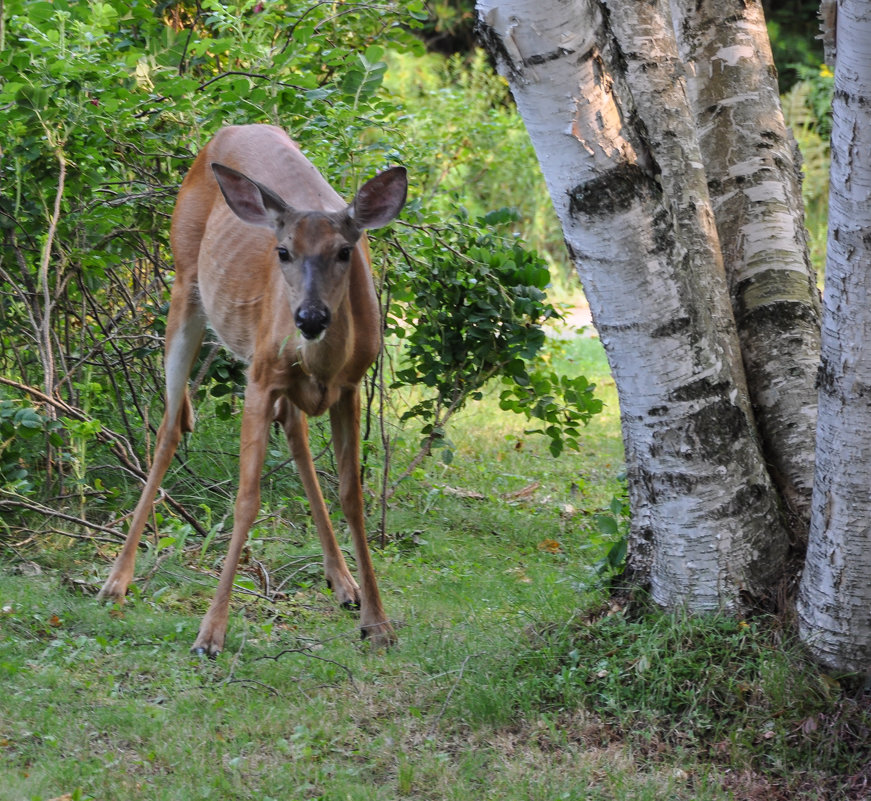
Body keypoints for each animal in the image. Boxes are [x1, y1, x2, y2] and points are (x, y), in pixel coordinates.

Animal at [99, 122, 408, 652]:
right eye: (283, 251)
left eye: (344, 251)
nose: (309, 317)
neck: (322, 363)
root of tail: (228, 130)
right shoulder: (259, 377)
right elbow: (247, 499)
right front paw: (210, 633)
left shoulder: (350, 386)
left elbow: (352, 496)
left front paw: (378, 622)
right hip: (186, 283)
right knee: (169, 428)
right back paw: (116, 581)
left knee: (295, 434)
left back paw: (343, 582)